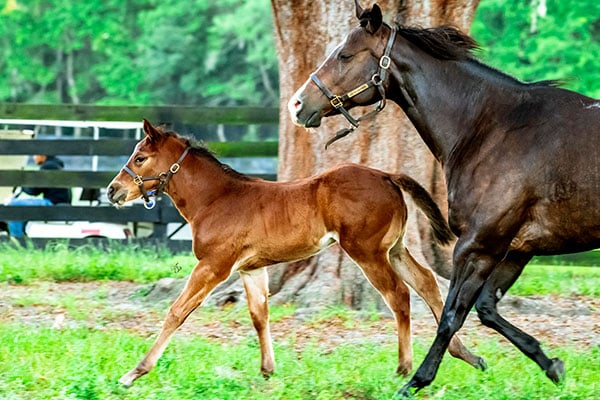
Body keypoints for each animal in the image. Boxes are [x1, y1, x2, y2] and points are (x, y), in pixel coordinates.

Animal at [106, 119, 482, 388]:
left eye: (140, 158)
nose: (112, 191)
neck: (216, 199)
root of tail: (386, 175)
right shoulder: (251, 269)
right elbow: (259, 315)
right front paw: (267, 370)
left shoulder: (214, 265)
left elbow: (177, 311)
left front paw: (134, 372)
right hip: (395, 249)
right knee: (427, 281)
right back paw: (466, 354)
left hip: (367, 251)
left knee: (400, 295)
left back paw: (405, 367)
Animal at [288, 0, 596, 396]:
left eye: (344, 55)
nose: (297, 105)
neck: (494, 129)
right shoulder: (515, 248)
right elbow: (487, 309)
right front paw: (551, 364)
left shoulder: (477, 246)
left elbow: (452, 314)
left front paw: (415, 381)